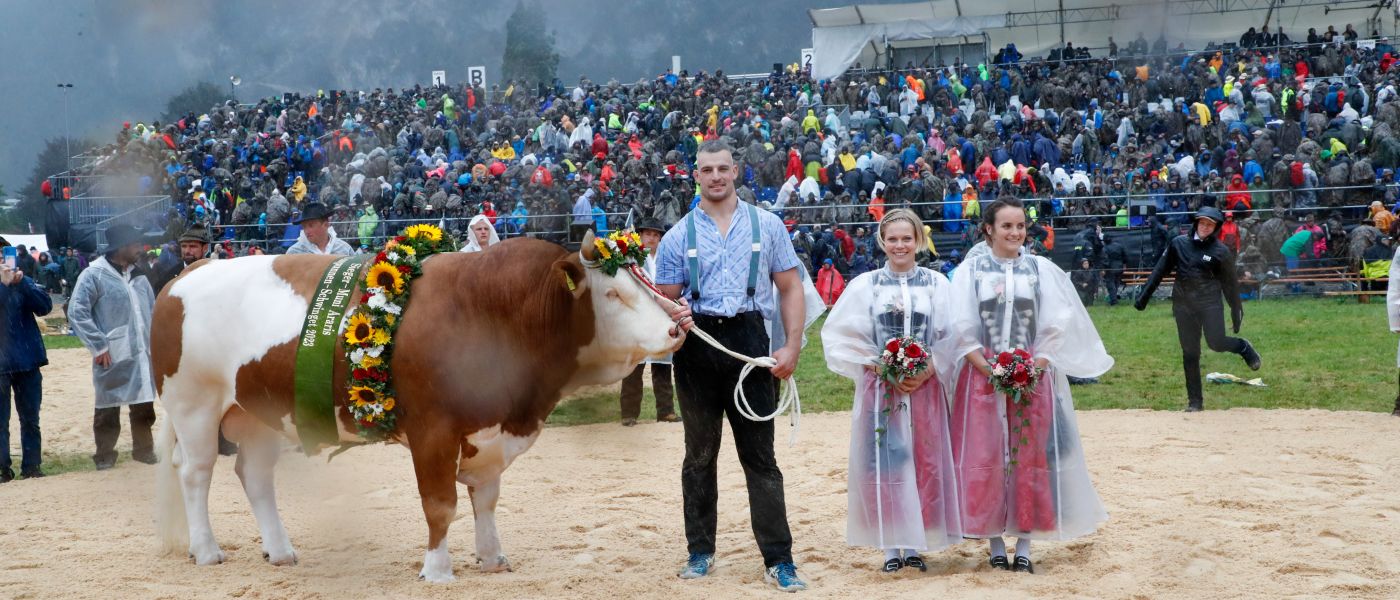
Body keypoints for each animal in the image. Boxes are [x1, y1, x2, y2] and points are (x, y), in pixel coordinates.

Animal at [149, 234, 683, 579]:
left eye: (644, 284)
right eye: (613, 293)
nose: (677, 327)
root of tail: (186, 275)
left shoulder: (488, 431)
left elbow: (486, 498)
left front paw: (492, 558)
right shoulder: (433, 431)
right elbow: (440, 505)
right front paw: (437, 569)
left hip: (257, 415)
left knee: (255, 476)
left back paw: (280, 552)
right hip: (195, 404)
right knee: (195, 473)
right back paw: (206, 550)